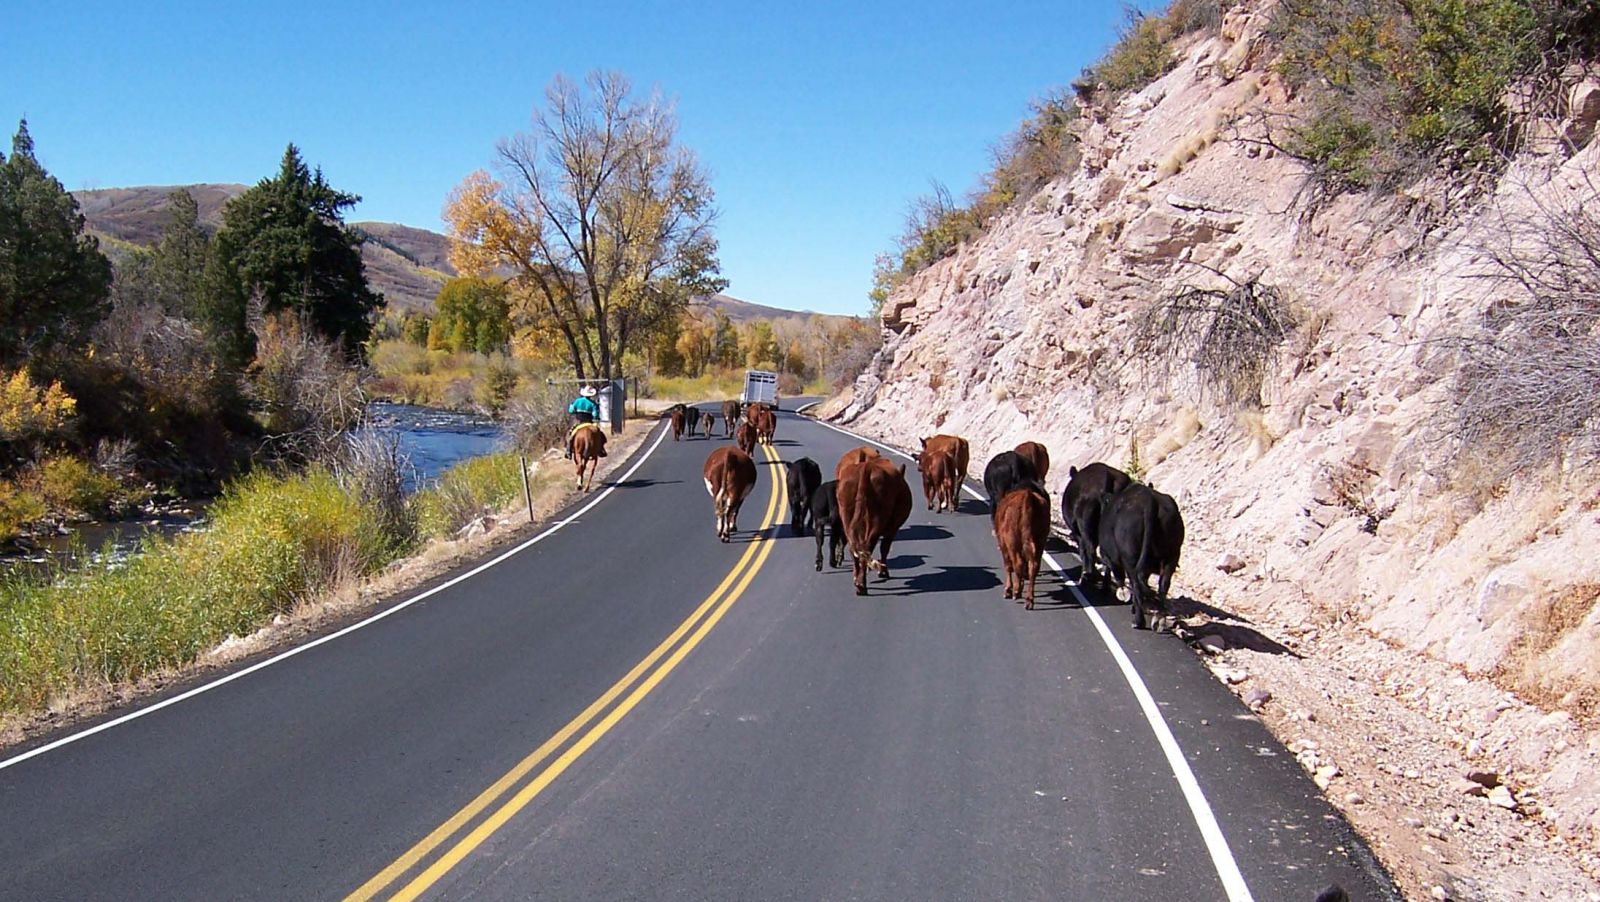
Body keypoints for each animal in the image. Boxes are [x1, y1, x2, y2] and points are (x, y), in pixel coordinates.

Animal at [838, 454, 915, 594]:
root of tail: (866, 467)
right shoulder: (893, 529)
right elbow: (885, 548)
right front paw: (883, 572)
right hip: (876, 521)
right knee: (868, 547)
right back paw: (862, 585)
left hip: (846, 517)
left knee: (854, 548)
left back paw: (857, 579)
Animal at [992, 482, 1056, 610]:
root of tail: (1028, 495)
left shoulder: (1003, 545)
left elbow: (1008, 566)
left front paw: (1009, 590)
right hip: (1040, 540)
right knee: (1033, 566)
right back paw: (1029, 600)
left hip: (1012, 542)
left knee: (1018, 563)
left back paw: (1016, 593)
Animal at [1068, 460, 1132, 588]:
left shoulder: (1078, 533)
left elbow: (1083, 551)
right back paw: (1105, 586)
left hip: (1086, 525)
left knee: (1090, 549)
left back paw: (1087, 578)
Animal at [1100, 482, 1190, 630]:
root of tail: (1150, 501)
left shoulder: (1108, 556)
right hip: (1172, 556)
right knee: (1162, 585)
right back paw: (1159, 620)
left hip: (1130, 558)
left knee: (1137, 584)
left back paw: (1138, 621)